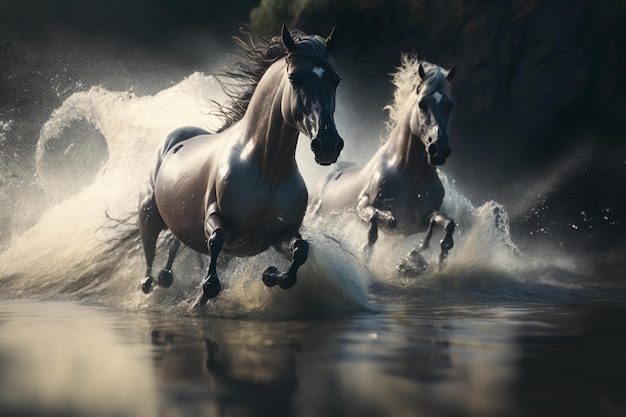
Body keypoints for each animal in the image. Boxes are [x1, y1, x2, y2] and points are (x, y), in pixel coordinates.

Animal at [138, 26, 342, 306]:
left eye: (336, 80)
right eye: (294, 78)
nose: (329, 144)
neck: (267, 171)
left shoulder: (280, 234)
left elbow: (300, 251)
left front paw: (270, 275)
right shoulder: (214, 215)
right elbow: (216, 242)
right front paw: (202, 294)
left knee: (174, 245)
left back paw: (165, 276)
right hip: (149, 214)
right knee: (149, 254)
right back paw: (151, 283)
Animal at [310, 54, 456, 270]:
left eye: (449, 105)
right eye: (422, 104)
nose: (439, 149)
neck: (410, 176)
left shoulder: (422, 221)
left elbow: (446, 225)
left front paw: (416, 258)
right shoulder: (362, 206)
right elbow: (379, 222)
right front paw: (367, 255)